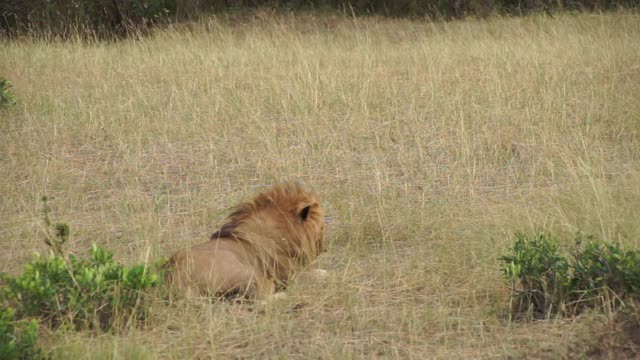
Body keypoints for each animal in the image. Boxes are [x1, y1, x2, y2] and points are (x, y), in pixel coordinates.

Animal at [165, 181, 324, 300]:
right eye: (322, 228)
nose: (323, 249)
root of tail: (177, 277)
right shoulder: (290, 274)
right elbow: (319, 274)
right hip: (250, 274)